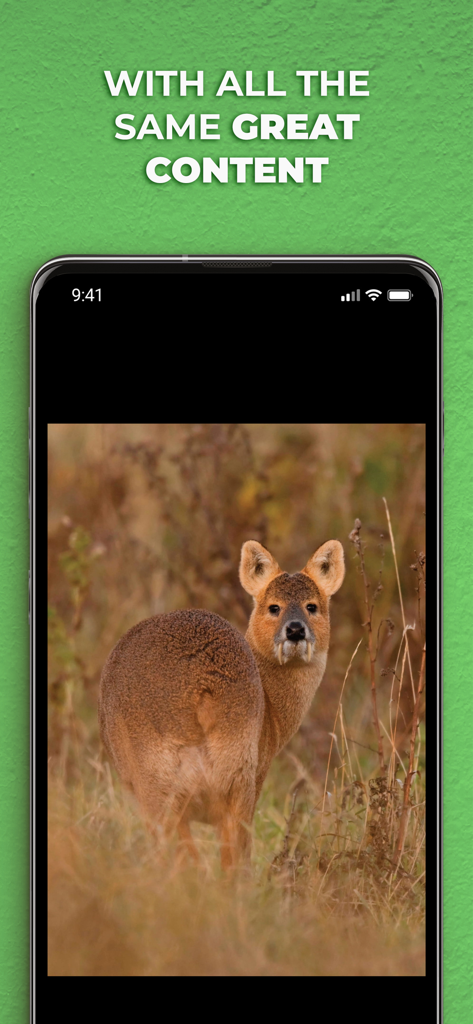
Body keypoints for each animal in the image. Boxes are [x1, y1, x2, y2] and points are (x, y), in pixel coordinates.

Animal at [98, 538, 345, 869]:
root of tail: (200, 691)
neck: (272, 712)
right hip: (228, 784)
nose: (295, 629)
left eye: (312, 606)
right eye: (273, 606)